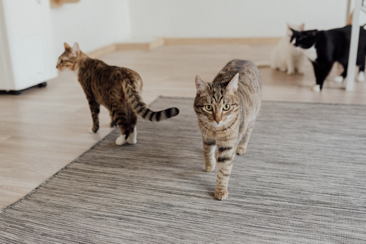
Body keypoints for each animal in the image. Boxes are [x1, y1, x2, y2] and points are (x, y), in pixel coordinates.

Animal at [193, 59, 262, 200]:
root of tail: (246, 59)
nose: (218, 119)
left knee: (246, 134)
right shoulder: (206, 136)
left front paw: (220, 189)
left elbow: (224, 170)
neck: (216, 131)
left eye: (226, 107)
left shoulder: (228, 144)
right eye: (208, 107)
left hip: (251, 118)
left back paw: (241, 147)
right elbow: (207, 152)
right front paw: (210, 165)